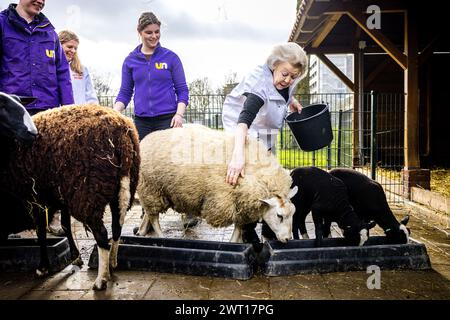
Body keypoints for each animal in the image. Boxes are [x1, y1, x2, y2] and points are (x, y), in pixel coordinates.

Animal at [137, 124, 298, 242]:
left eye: (293, 213)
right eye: (279, 216)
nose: (288, 239)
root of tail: (144, 140)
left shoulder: (240, 203)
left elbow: (239, 227)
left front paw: (235, 241)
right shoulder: (229, 200)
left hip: (156, 192)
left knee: (149, 214)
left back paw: (141, 231)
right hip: (151, 188)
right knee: (153, 217)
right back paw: (160, 236)